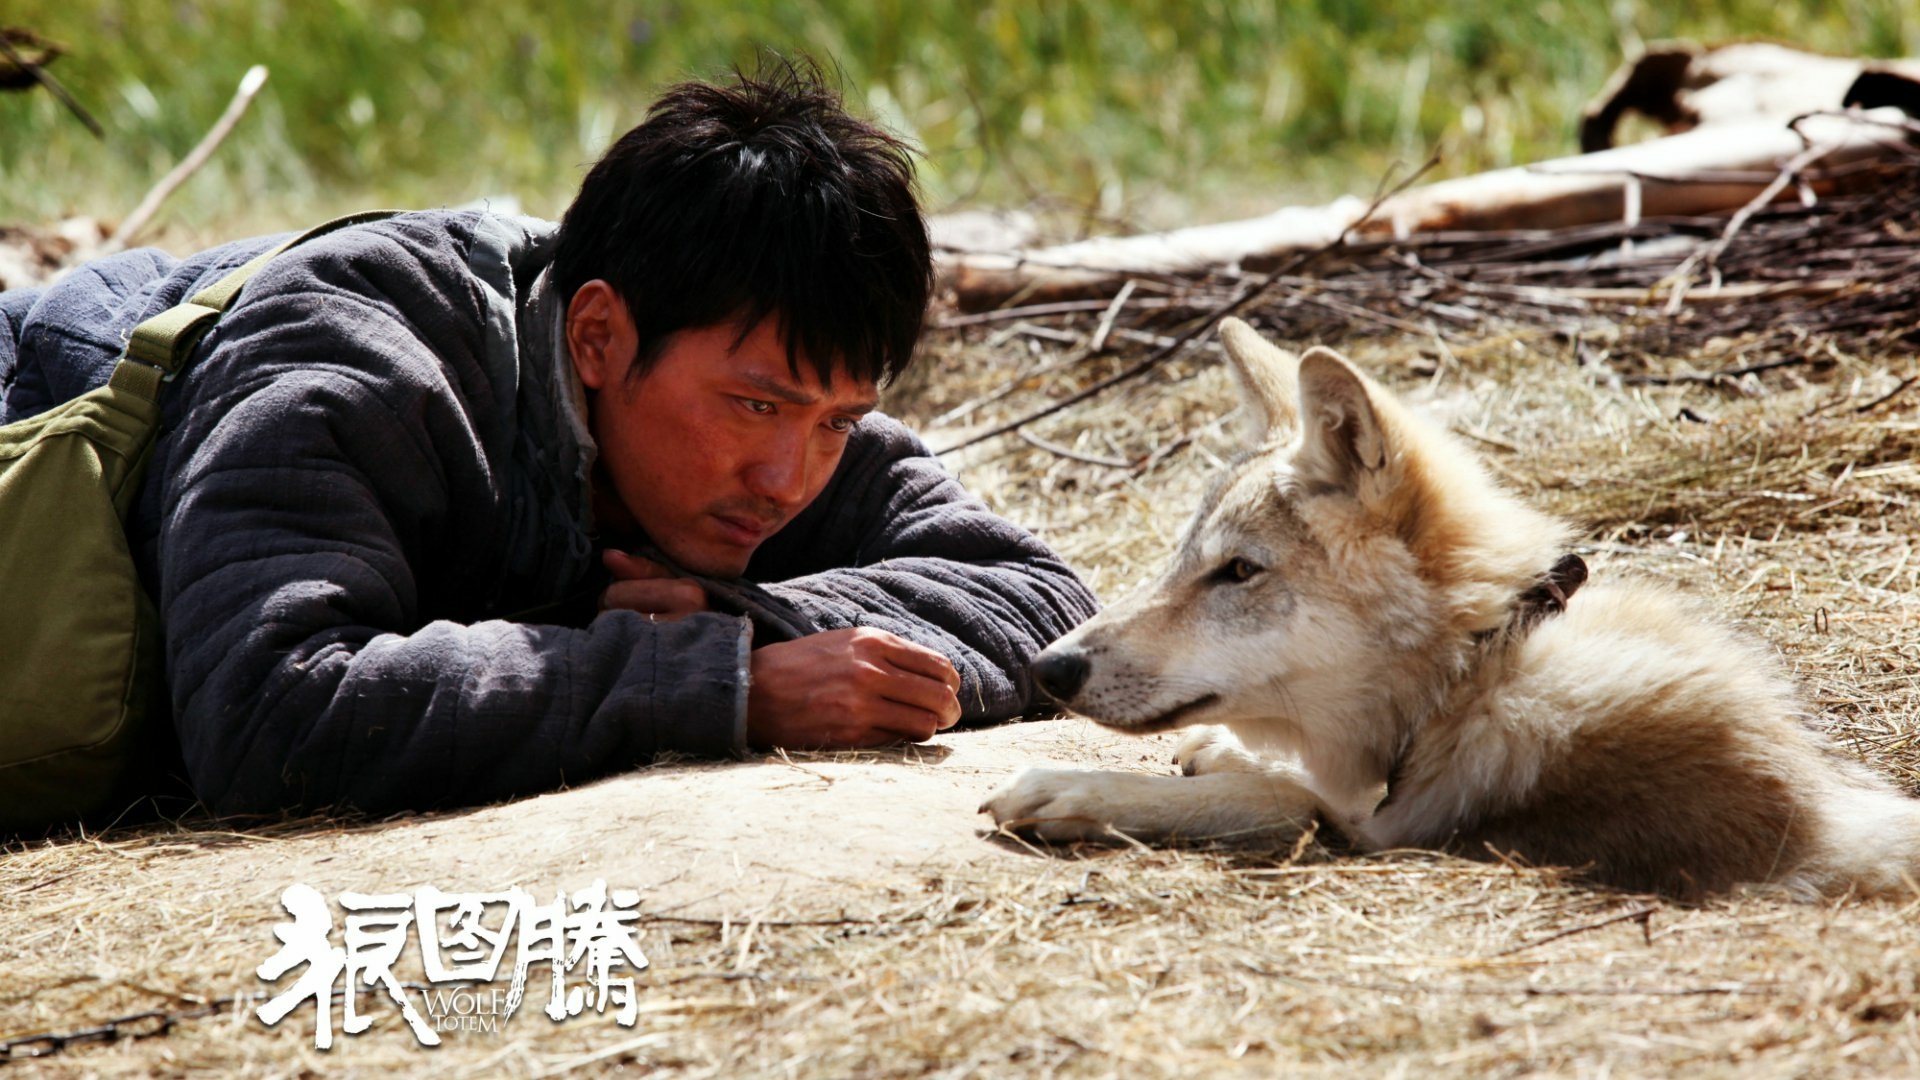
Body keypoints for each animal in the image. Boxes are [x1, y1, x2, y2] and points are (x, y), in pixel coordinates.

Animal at [982, 318, 1920, 900]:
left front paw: (1076, 791)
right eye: (1184, 557)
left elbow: (1282, 796)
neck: (1477, 667)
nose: (1049, 665)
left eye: (1238, 571)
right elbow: (1278, 774)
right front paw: (1217, 749)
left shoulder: (1392, 830)